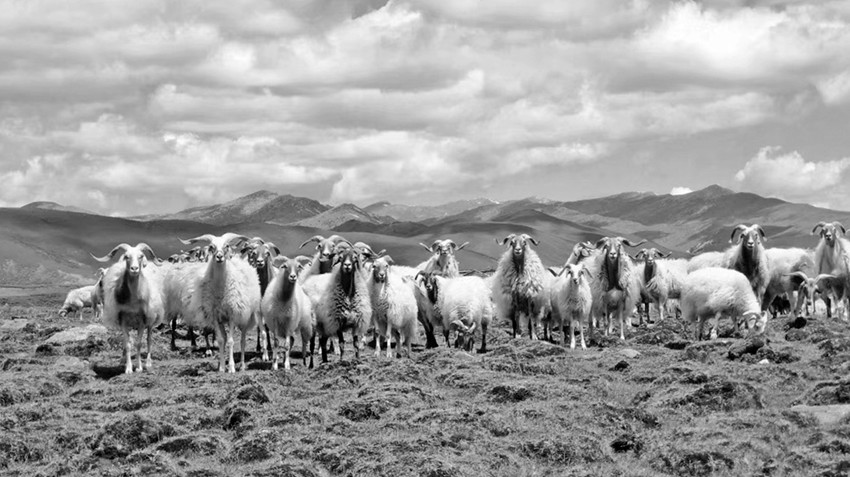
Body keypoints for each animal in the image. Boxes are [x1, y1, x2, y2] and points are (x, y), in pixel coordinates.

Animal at [92, 243, 165, 374]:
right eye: (126, 256)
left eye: (141, 256)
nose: (134, 269)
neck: (133, 302)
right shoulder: (123, 320)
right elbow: (127, 344)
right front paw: (128, 368)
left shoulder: (142, 321)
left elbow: (139, 343)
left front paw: (139, 367)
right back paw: (122, 360)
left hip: (151, 321)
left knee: (149, 340)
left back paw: (148, 363)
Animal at [179, 233, 263, 373]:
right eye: (211, 247)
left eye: (227, 245)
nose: (219, 257)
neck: (220, 289)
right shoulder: (214, 316)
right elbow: (220, 340)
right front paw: (222, 367)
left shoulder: (232, 315)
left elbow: (231, 341)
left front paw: (232, 367)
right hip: (223, 320)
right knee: (224, 337)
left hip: (245, 318)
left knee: (243, 341)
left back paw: (242, 365)